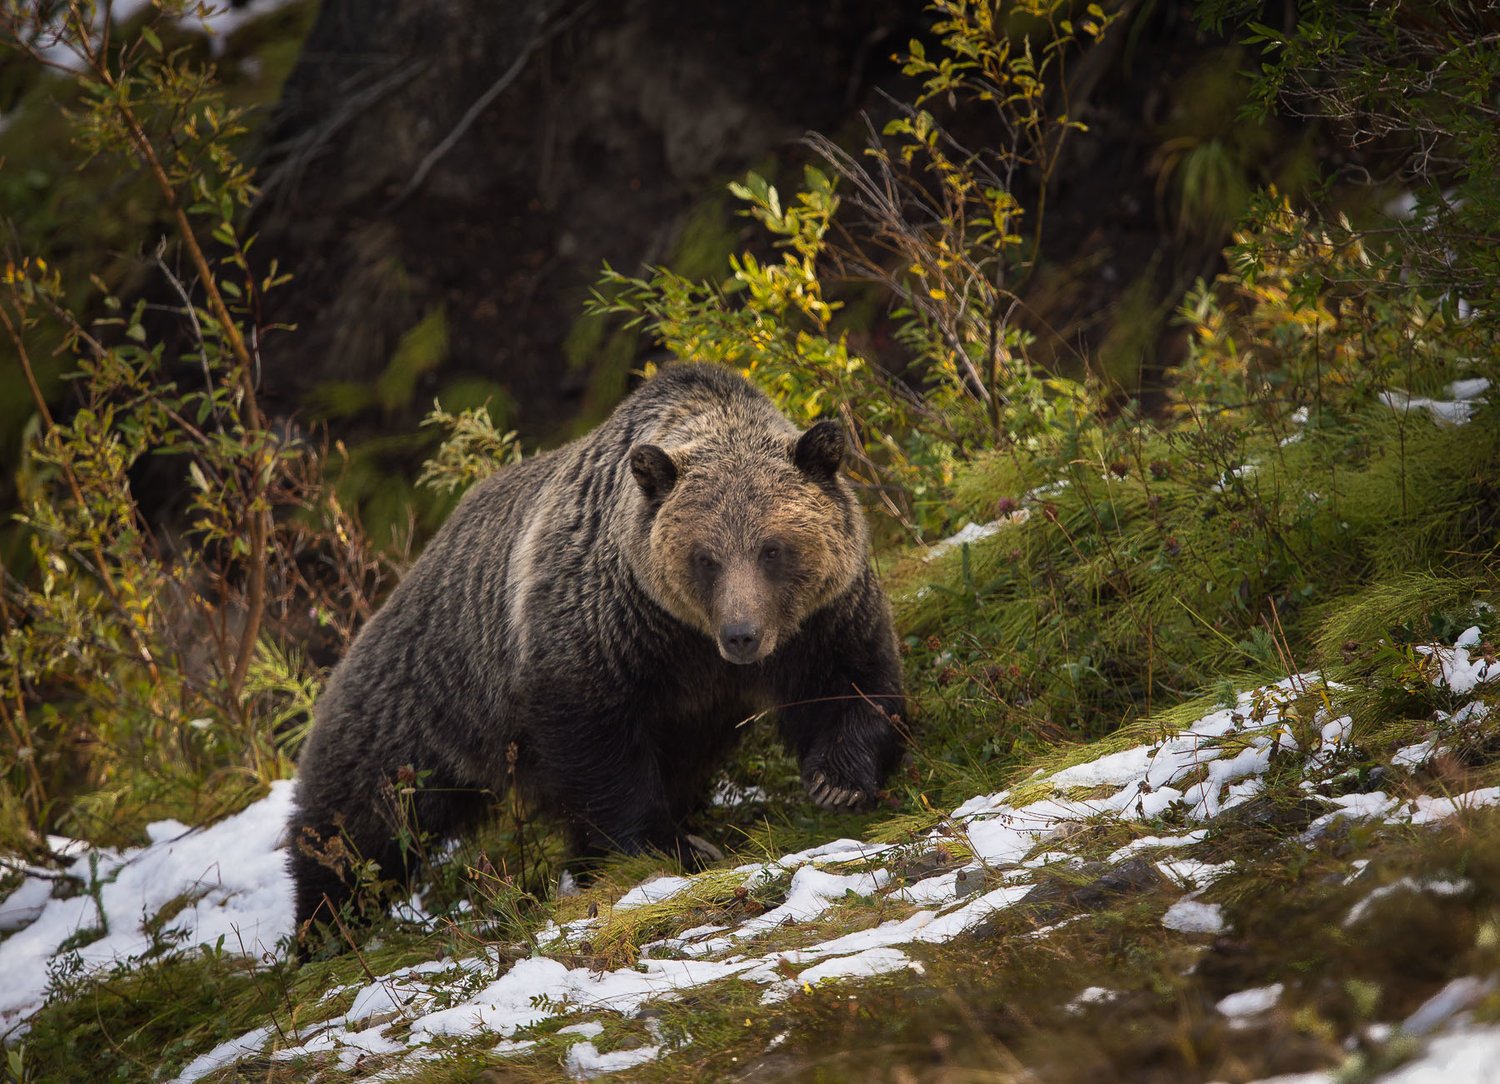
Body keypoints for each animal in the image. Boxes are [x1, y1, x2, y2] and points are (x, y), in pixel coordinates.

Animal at [288, 362, 906, 941]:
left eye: (772, 549)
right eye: (705, 557)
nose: (742, 635)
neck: (689, 640)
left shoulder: (820, 617)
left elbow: (849, 680)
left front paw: (838, 782)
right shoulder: (603, 626)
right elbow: (600, 747)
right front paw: (668, 844)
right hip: (421, 700)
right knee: (361, 821)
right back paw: (325, 926)